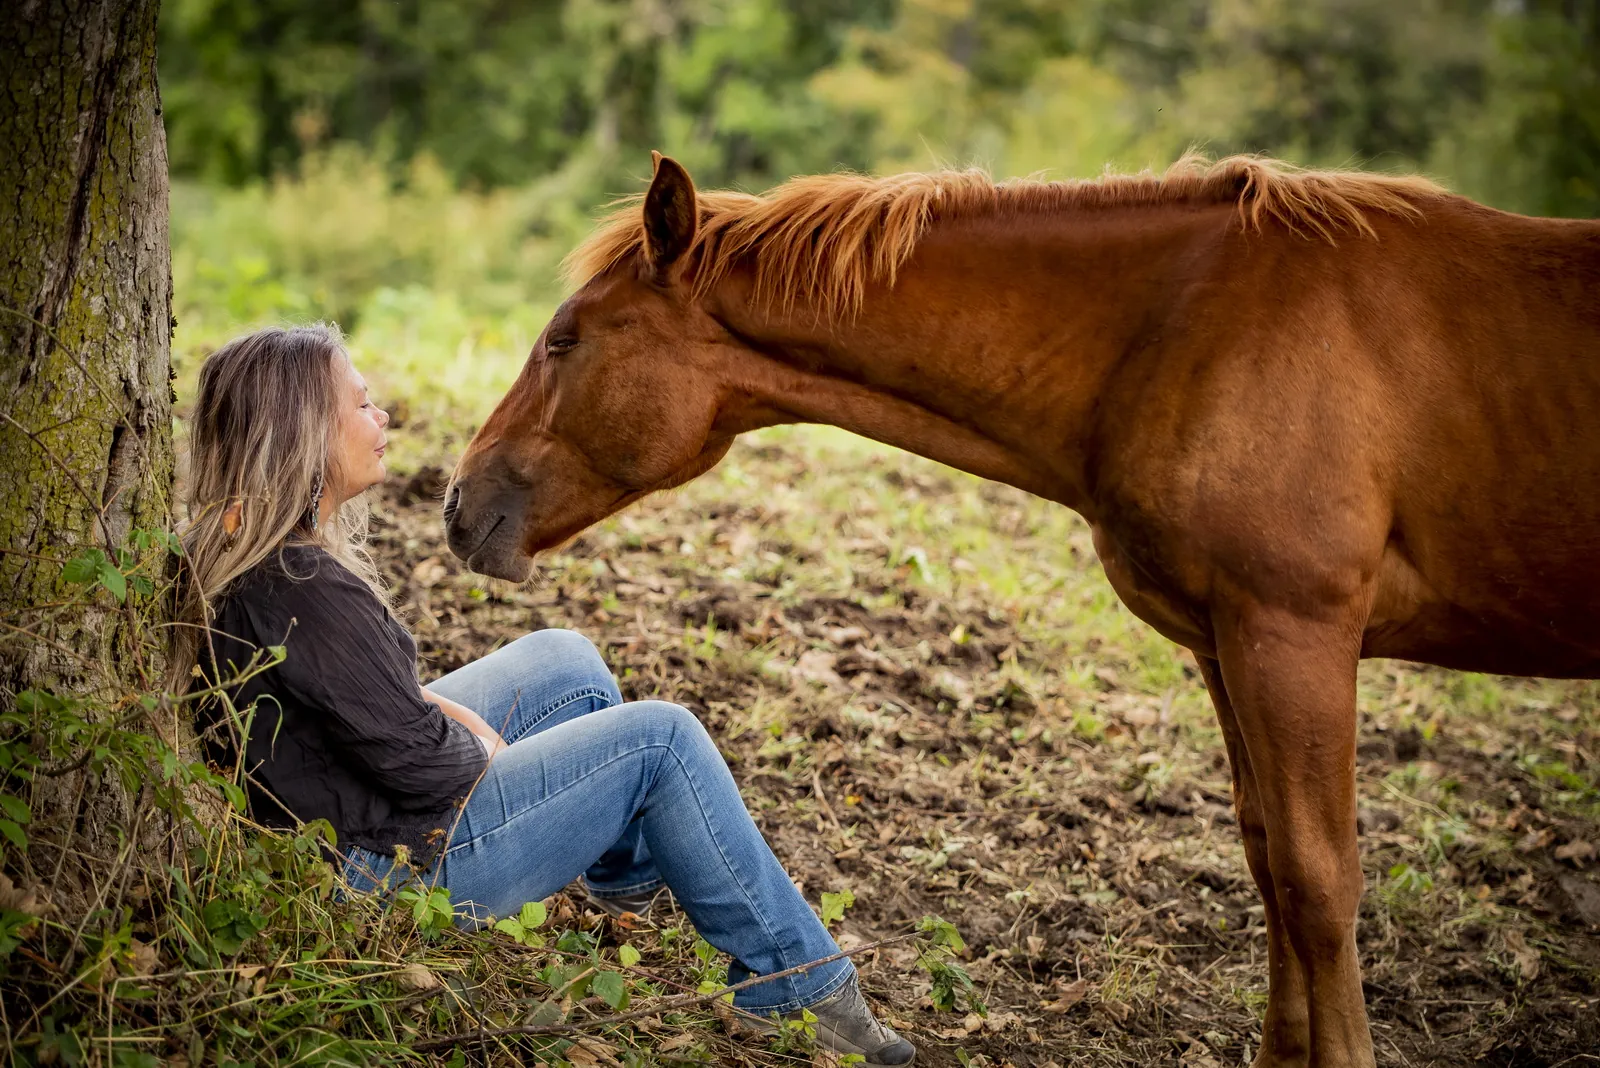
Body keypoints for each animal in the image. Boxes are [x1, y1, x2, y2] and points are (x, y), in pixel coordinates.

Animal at [444, 151, 1600, 1067]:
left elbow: (1319, 884)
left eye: (565, 339)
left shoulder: (1295, 635)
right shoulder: (1228, 644)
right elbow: (1270, 863)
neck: (1191, 328)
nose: (458, 506)